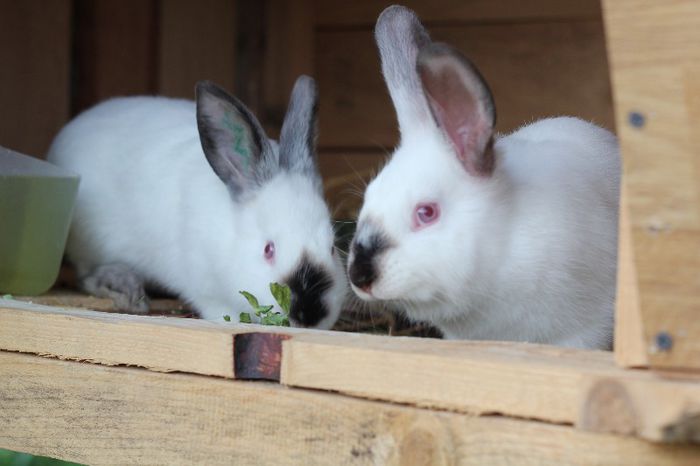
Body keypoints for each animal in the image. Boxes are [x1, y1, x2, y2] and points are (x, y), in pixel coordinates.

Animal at [46, 75, 348, 328]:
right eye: (268, 249)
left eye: (332, 248)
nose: (309, 314)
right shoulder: (206, 288)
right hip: (89, 245)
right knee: (87, 276)